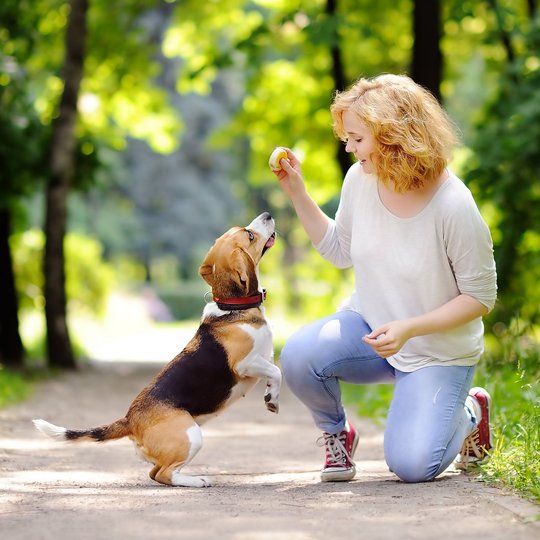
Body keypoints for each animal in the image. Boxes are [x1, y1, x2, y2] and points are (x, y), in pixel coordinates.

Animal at [32, 213, 282, 488]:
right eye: (249, 235)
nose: (267, 215)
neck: (232, 308)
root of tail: (130, 420)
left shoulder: (263, 358)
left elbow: (274, 371)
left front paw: (270, 396)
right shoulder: (245, 364)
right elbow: (276, 371)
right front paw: (272, 399)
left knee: (155, 473)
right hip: (191, 436)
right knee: (165, 473)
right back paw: (197, 480)